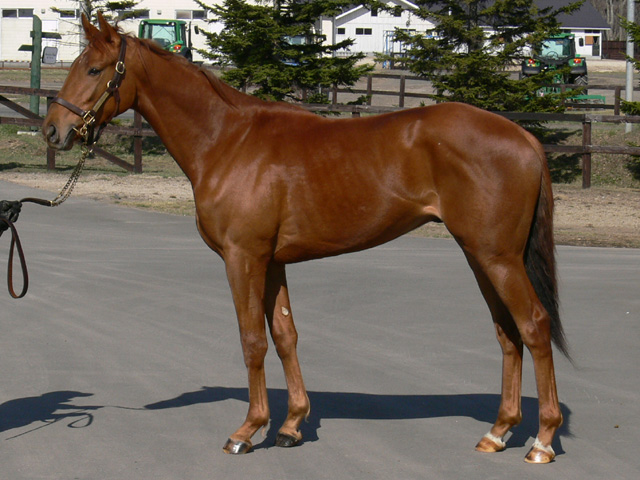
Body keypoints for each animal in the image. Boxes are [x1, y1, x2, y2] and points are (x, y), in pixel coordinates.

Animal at [42, 13, 569, 464]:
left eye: (94, 68)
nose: (53, 130)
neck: (227, 141)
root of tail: (524, 137)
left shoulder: (243, 258)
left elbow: (252, 339)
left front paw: (247, 430)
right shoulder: (273, 261)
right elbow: (285, 335)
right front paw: (292, 425)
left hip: (498, 257)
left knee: (534, 326)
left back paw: (542, 441)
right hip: (481, 256)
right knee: (507, 334)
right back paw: (498, 432)